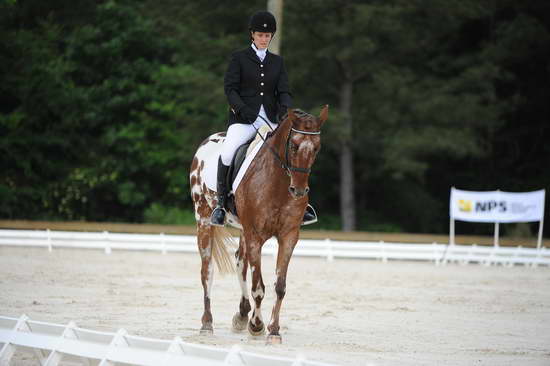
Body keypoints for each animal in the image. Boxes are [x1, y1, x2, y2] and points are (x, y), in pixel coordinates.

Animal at [190, 105, 330, 344]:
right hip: (204, 221)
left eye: (317, 149)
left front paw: (273, 331)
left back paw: (241, 314)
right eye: (293, 145)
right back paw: (207, 323)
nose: (299, 191)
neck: (279, 183)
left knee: (240, 262)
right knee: (207, 272)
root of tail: (207, 141)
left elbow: (280, 286)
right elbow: (258, 287)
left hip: (242, 229)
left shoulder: (288, 236)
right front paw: (257, 326)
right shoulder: (255, 235)